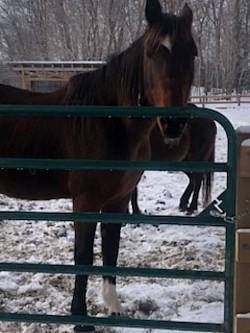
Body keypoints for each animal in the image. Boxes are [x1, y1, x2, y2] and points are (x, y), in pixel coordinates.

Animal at [0, 1, 197, 330]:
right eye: (152, 52)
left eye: (192, 53)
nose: (173, 124)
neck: (107, 121)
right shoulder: (86, 201)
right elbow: (83, 256)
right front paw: (80, 318)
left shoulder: (117, 201)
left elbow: (111, 249)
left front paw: (113, 308)